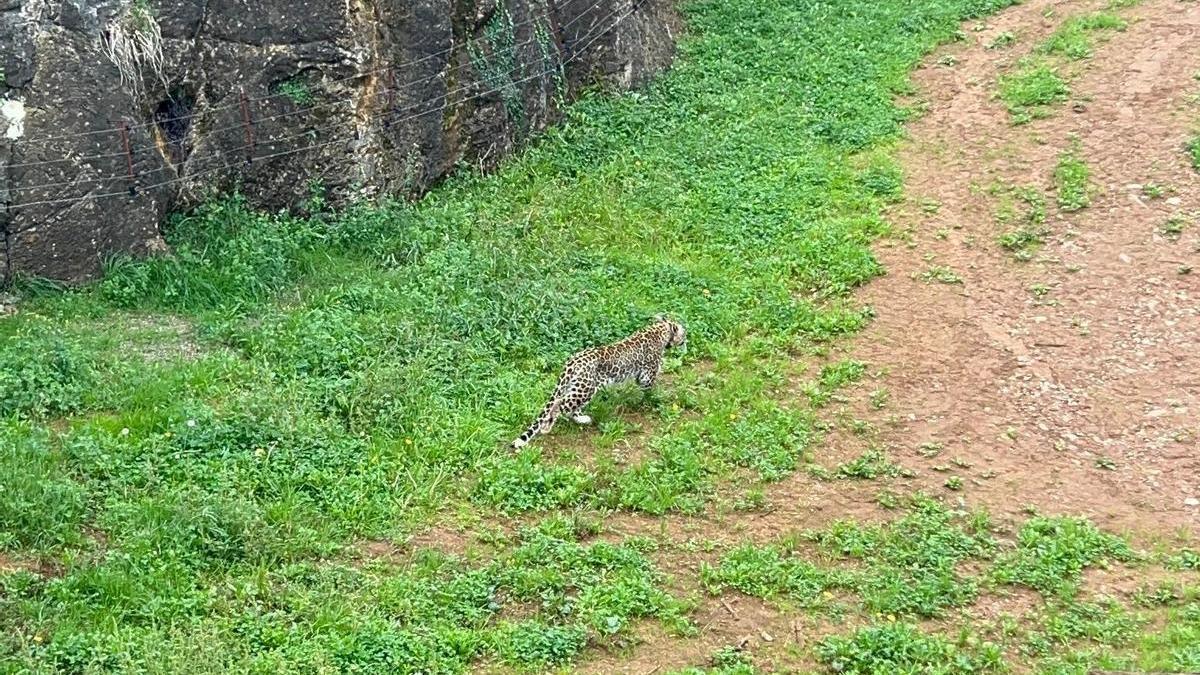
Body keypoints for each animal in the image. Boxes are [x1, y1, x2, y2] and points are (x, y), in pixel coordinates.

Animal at [511, 314, 691, 446]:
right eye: (684, 332)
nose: (686, 339)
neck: (660, 331)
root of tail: (572, 361)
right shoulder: (647, 375)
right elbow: (650, 390)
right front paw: (654, 399)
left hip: (578, 387)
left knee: (569, 408)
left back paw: (582, 419)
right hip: (585, 389)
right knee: (559, 404)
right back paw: (547, 427)